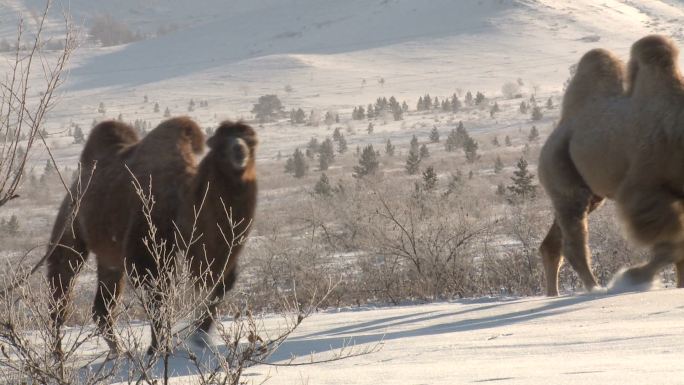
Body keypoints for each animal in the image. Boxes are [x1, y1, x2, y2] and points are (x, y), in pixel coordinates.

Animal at [46, 118, 258, 354]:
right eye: (221, 144)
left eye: (251, 140)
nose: (239, 151)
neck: (183, 200)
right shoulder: (146, 250)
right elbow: (159, 297)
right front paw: (158, 348)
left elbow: (222, 283)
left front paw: (199, 336)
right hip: (69, 230)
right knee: (60, 291)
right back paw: (58, 355)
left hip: (109, 255)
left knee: (102, 308)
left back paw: (119, 353)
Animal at [540, 35, 684, 294]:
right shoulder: (646, 188)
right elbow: (674, 244)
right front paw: (632, 277)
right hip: (560, 171)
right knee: (573, 236)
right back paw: (595, 288)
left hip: (591, 192)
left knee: (553, 241)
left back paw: (553, 293)